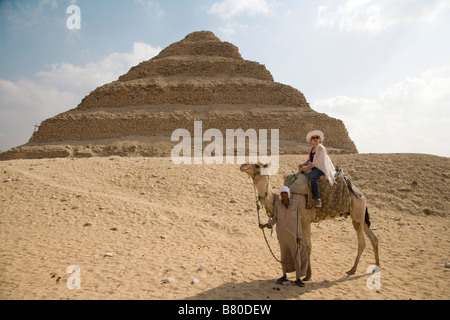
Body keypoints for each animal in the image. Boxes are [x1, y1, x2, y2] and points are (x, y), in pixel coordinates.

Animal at [239, 162, 380, 280]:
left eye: (257, 165)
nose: (242, 166)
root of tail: (361, 194)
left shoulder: (305, 220)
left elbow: (308, 245)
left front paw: (308, 275)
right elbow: (301, 243)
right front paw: (302, 272)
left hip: (357, 211)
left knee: (362, 242)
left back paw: (352, 270)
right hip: (360, 215)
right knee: (374, 238)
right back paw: (376, 267)